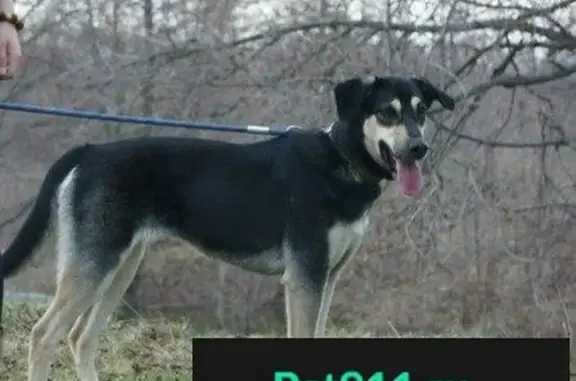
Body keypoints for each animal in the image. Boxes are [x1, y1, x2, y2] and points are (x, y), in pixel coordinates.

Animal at [1, 75, 454, 380]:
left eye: (421, 112)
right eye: (386, 112)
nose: (419, 148)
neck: (340, 161)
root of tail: (89, 151)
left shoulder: (328, 277)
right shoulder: (304, 277)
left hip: (119, 268)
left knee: (81, 338)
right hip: (93, 266)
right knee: (44, 336)